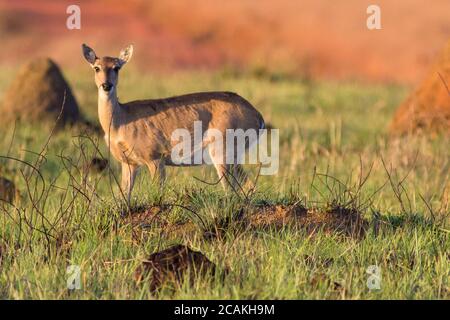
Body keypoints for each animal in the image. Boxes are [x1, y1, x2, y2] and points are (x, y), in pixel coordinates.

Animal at [82, 43, 266, 204]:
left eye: (116, 67)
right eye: (96, 67)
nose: (106, 85)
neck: (121, 122)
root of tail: (258, 117)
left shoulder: (155, 156)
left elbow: (158, 190)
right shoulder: (129, 162)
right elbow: (124, 194)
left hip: (222, 148)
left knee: (231, 187)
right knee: (247, 184)